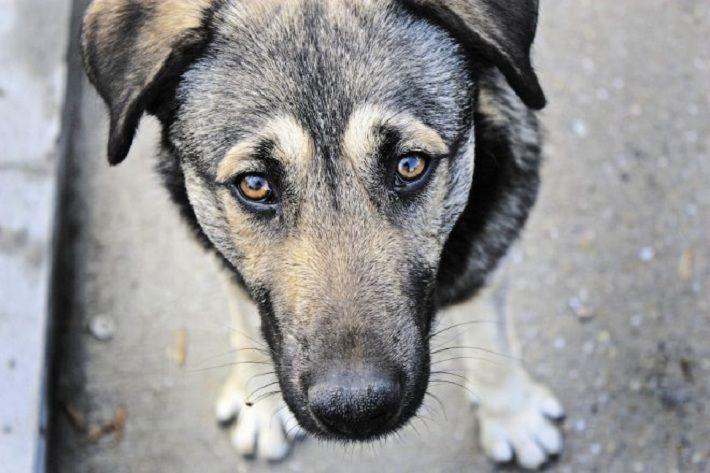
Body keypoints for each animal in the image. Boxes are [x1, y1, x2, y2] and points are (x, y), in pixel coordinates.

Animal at [80, 0, 564, 468]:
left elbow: (492, 338)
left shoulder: (492, 240)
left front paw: (512, 416)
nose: (357, 410)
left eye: (410, 165)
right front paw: (260, 405)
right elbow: (247, 317)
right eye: (255, 184)